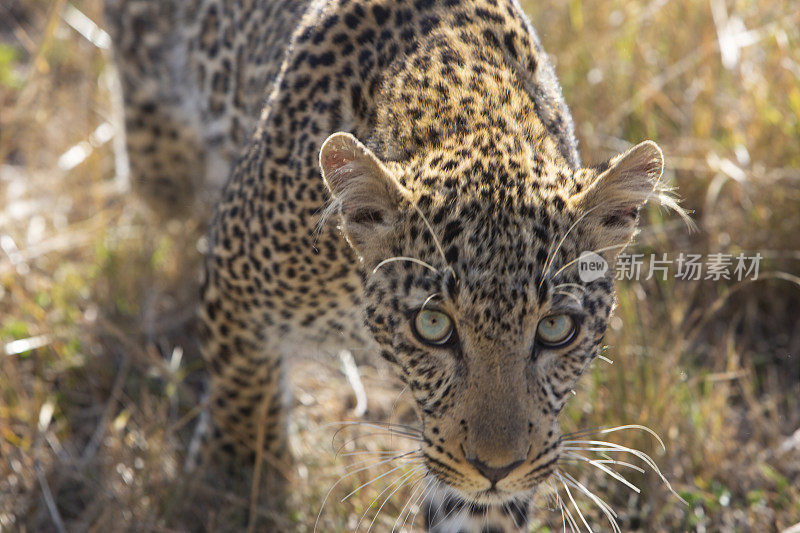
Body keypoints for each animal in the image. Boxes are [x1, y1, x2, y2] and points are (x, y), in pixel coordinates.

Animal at [103, 0, 672, 528]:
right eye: (433, 325)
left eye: (556, 329)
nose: (497, 469)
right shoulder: (234, 274)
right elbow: (243, 396)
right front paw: (237, 484)